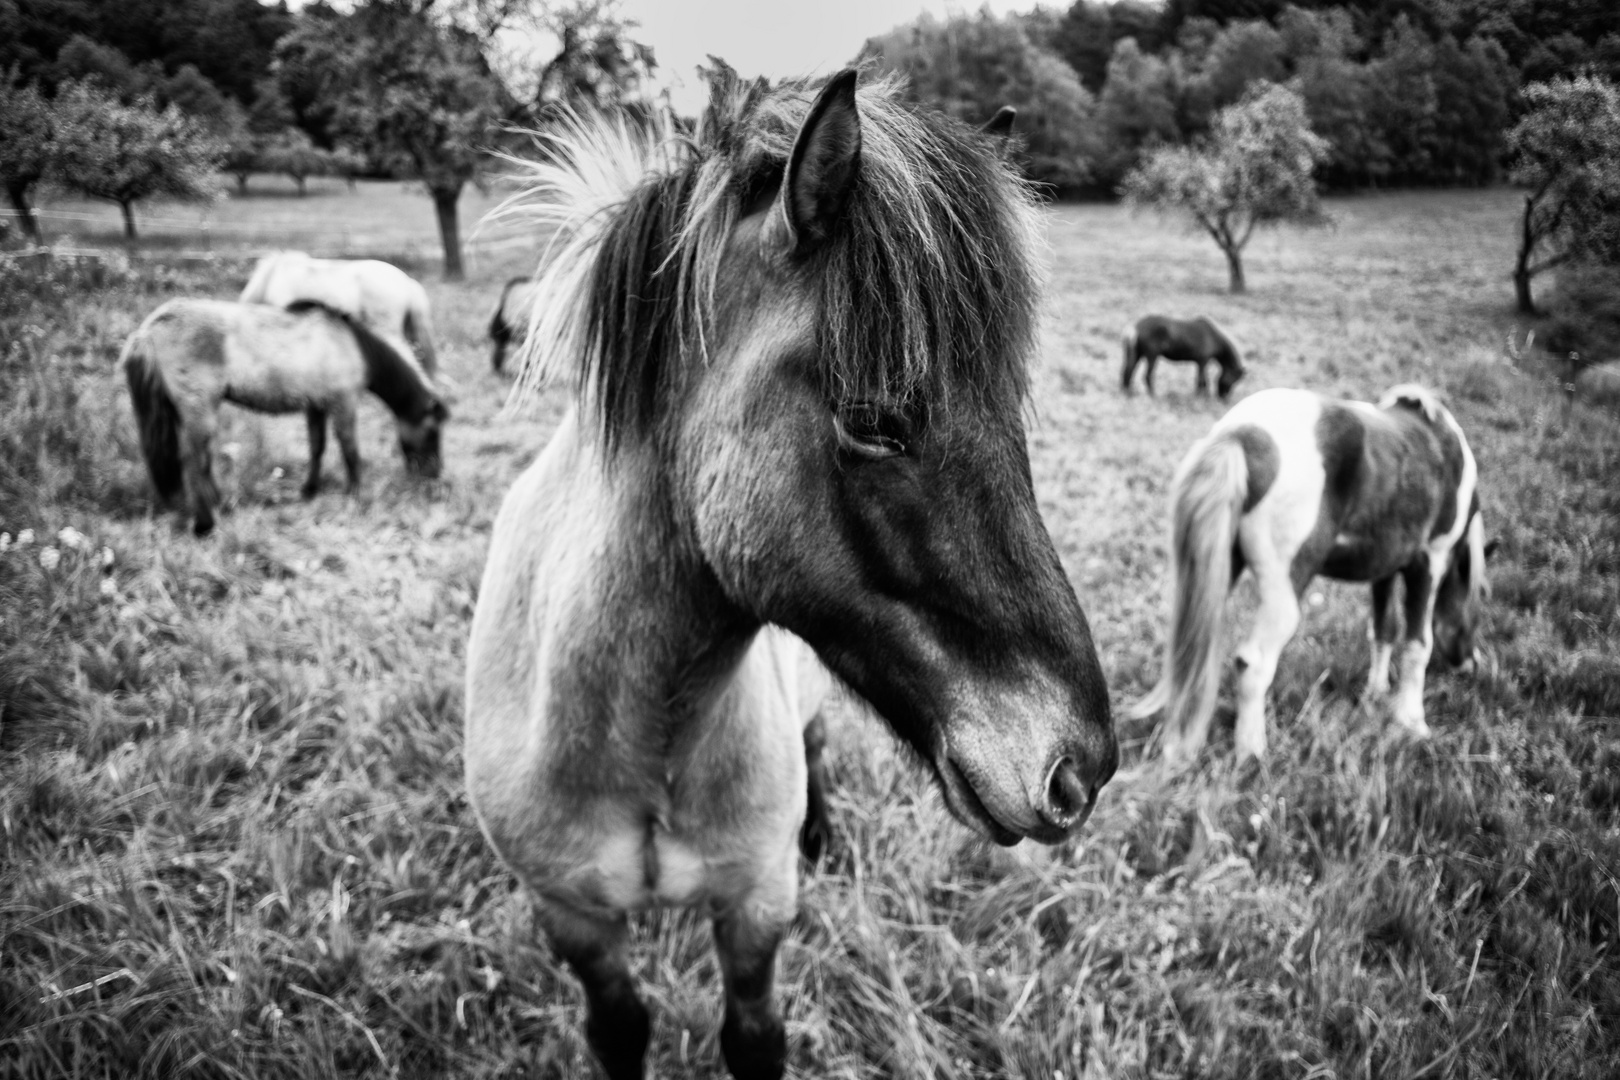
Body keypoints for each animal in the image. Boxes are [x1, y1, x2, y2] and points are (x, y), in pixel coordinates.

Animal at [120, 296, 453, 537]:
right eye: (432, 431)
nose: (434, 475)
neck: (351, 346)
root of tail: (149, 330)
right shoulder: (343, 404)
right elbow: (350, 451)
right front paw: (358, 495)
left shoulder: (316, 406)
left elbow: (317, 447)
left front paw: (310, 489)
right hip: (198, 410)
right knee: (194, 462)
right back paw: (205, 523)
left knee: (201, 463)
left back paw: (220, 504)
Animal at [456, 69, 1114, 1080]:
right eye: (876, 420)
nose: (1081, 770)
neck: (638, 739)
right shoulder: (573, 920)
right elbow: (619, 1028)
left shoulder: (757, 908)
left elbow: (755, 1034)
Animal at [1127, 383, 1490, 764]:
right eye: (1478, 608)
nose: (1472, 664)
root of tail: (1241, 434)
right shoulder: (1429, 563)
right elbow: (1418, 645)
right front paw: (1412, 721)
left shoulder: (1384, 569)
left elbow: (1383, 630)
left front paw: (1376, 692)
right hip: (1285, 592)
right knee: (1253, 663)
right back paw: (1252, 752)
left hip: (1215, 577)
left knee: (1188, 655)